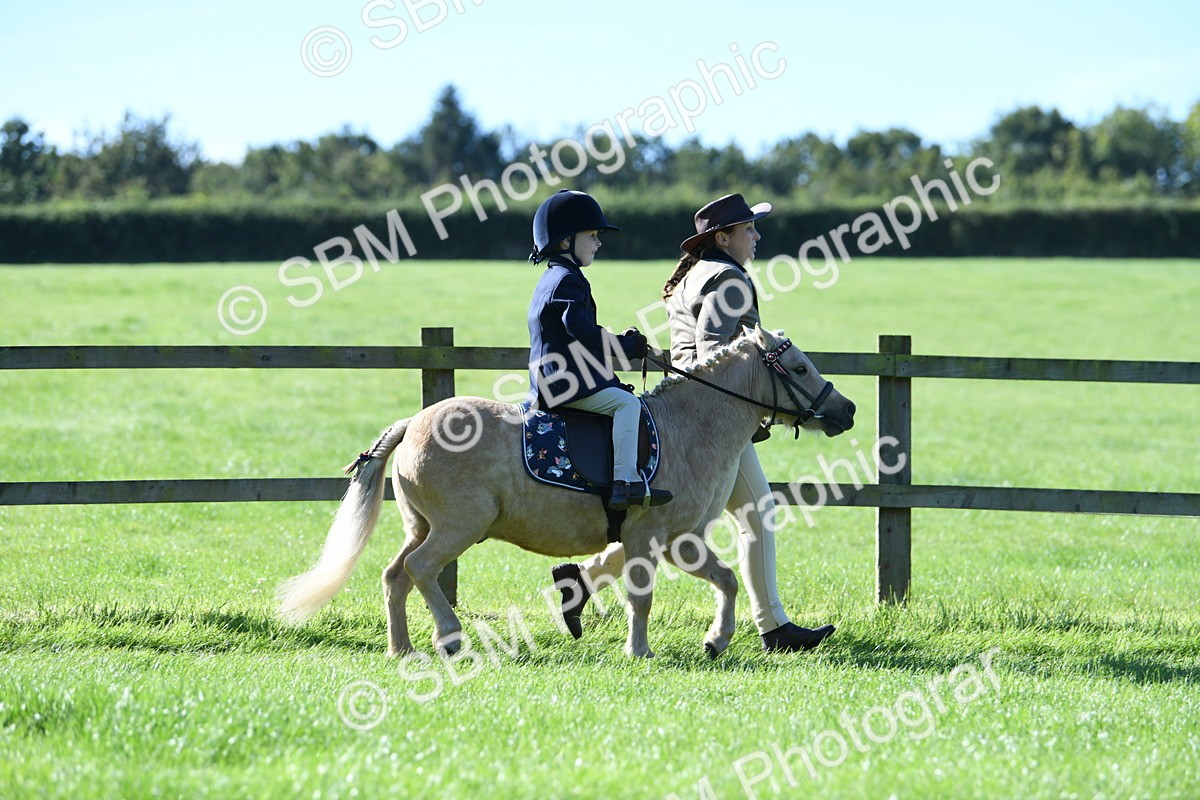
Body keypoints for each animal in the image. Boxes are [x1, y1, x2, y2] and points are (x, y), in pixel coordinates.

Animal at [276, 325, 856, 658]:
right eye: (799, 367)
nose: (846, 410)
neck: (690, 427)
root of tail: (413, 422)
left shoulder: (679, 540)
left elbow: (728, 580)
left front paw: (716, 640)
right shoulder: (648, 539)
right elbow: (641, 597)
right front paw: (640, 652)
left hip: (421, 526)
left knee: (395, 575)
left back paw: (401, 648)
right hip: (458, 528)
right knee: (420, 571)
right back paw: (449, 638)